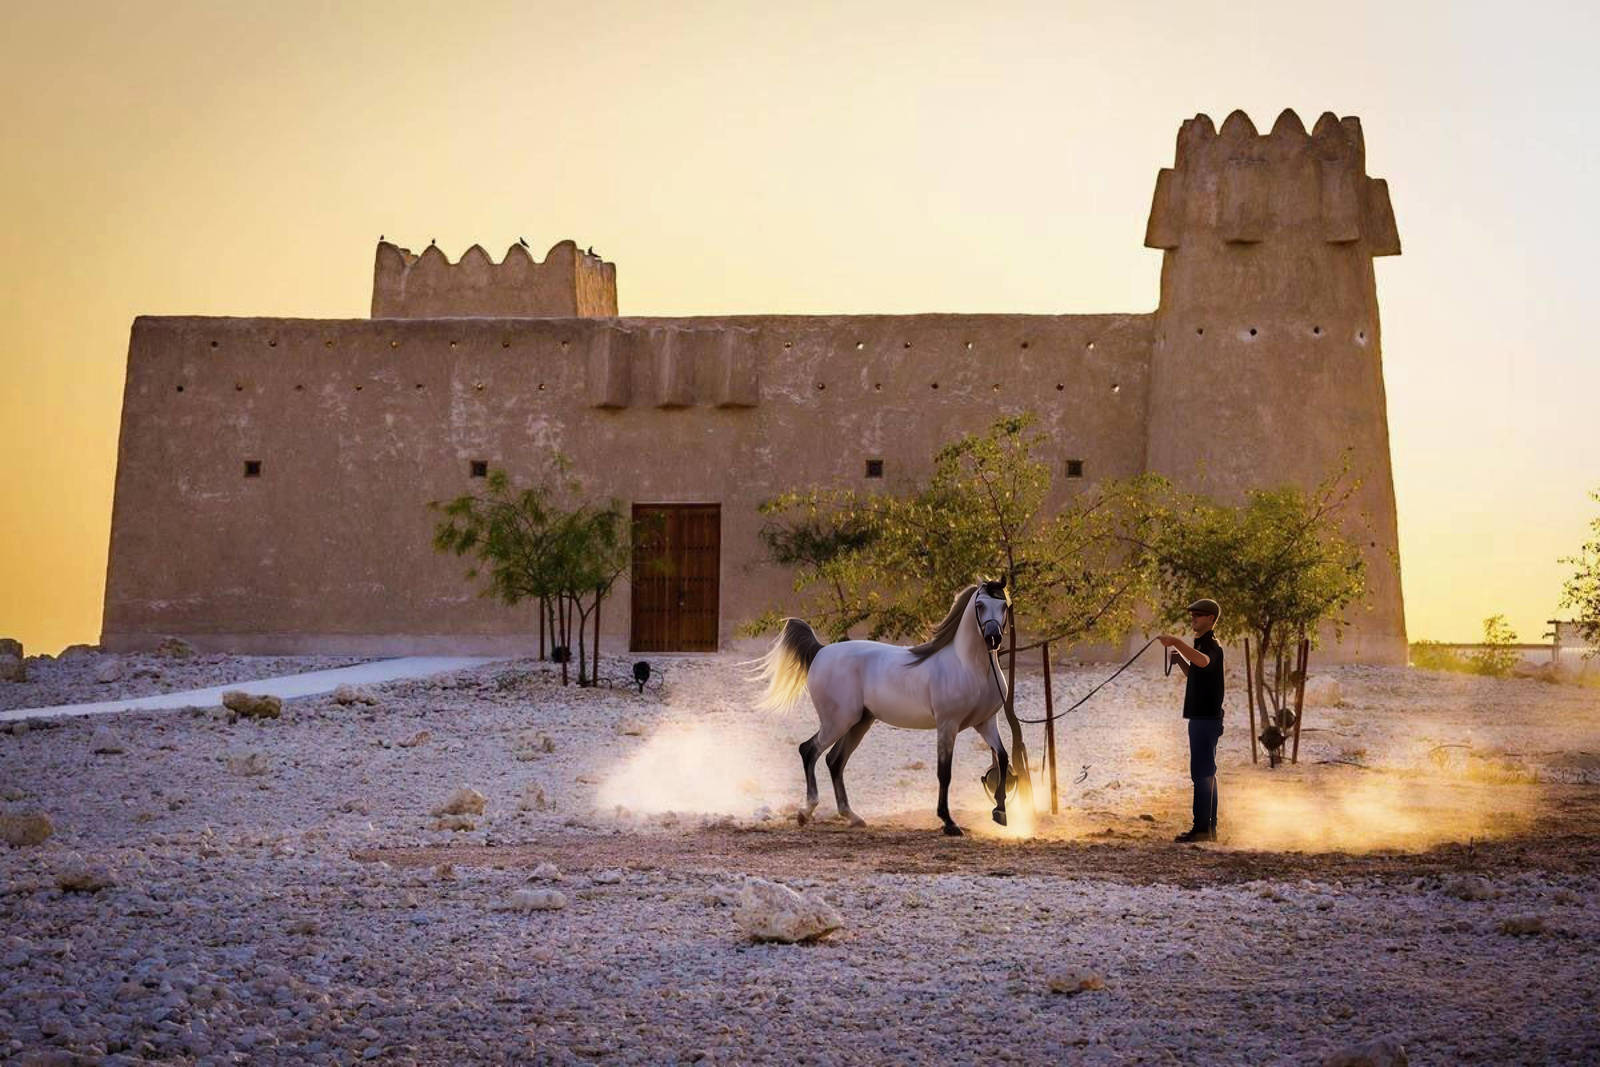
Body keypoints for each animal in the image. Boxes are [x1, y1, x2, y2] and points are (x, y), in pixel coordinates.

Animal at [752, 579, 1013, 836]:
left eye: (1004, 606)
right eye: (979, 605)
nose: (993, 638)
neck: (969, 667)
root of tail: (821, 651)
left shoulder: (986, 723)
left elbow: (1002, 758)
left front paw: (1000, 812)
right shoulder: (947, 725)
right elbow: (944, 772)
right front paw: (949, 822)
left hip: (859, 723)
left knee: (834, 761)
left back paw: (852, 817)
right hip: (837, 722)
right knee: (809, 750)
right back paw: (806, 812)